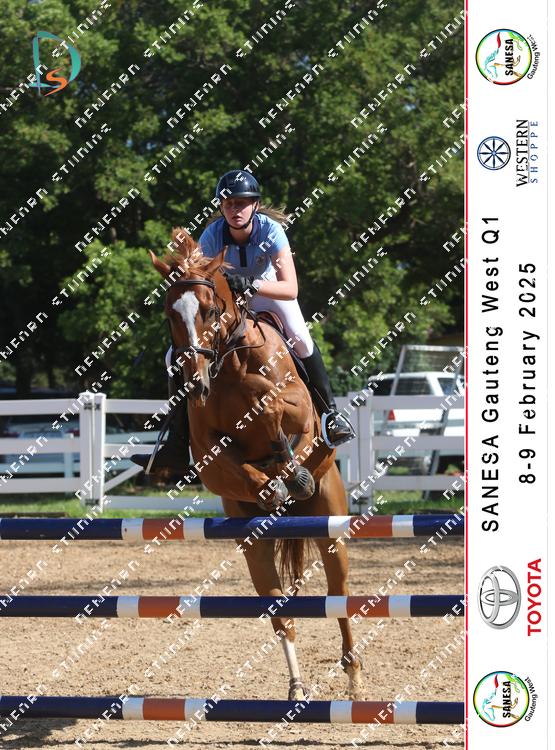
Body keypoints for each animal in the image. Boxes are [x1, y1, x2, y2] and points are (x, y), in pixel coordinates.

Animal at [149, 228, 363, 700]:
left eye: (210, 309)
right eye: (170, 314)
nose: (195, 382)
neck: (232, 363)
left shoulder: (300, 415)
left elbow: (278, 416)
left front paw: (290, 468)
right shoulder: (210, 458)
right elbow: (244, 469)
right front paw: (275, 485)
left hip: (331, 525)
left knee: (339, 594)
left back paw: (355, 681)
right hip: (254, 549)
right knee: (280, 611)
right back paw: (297, 688)